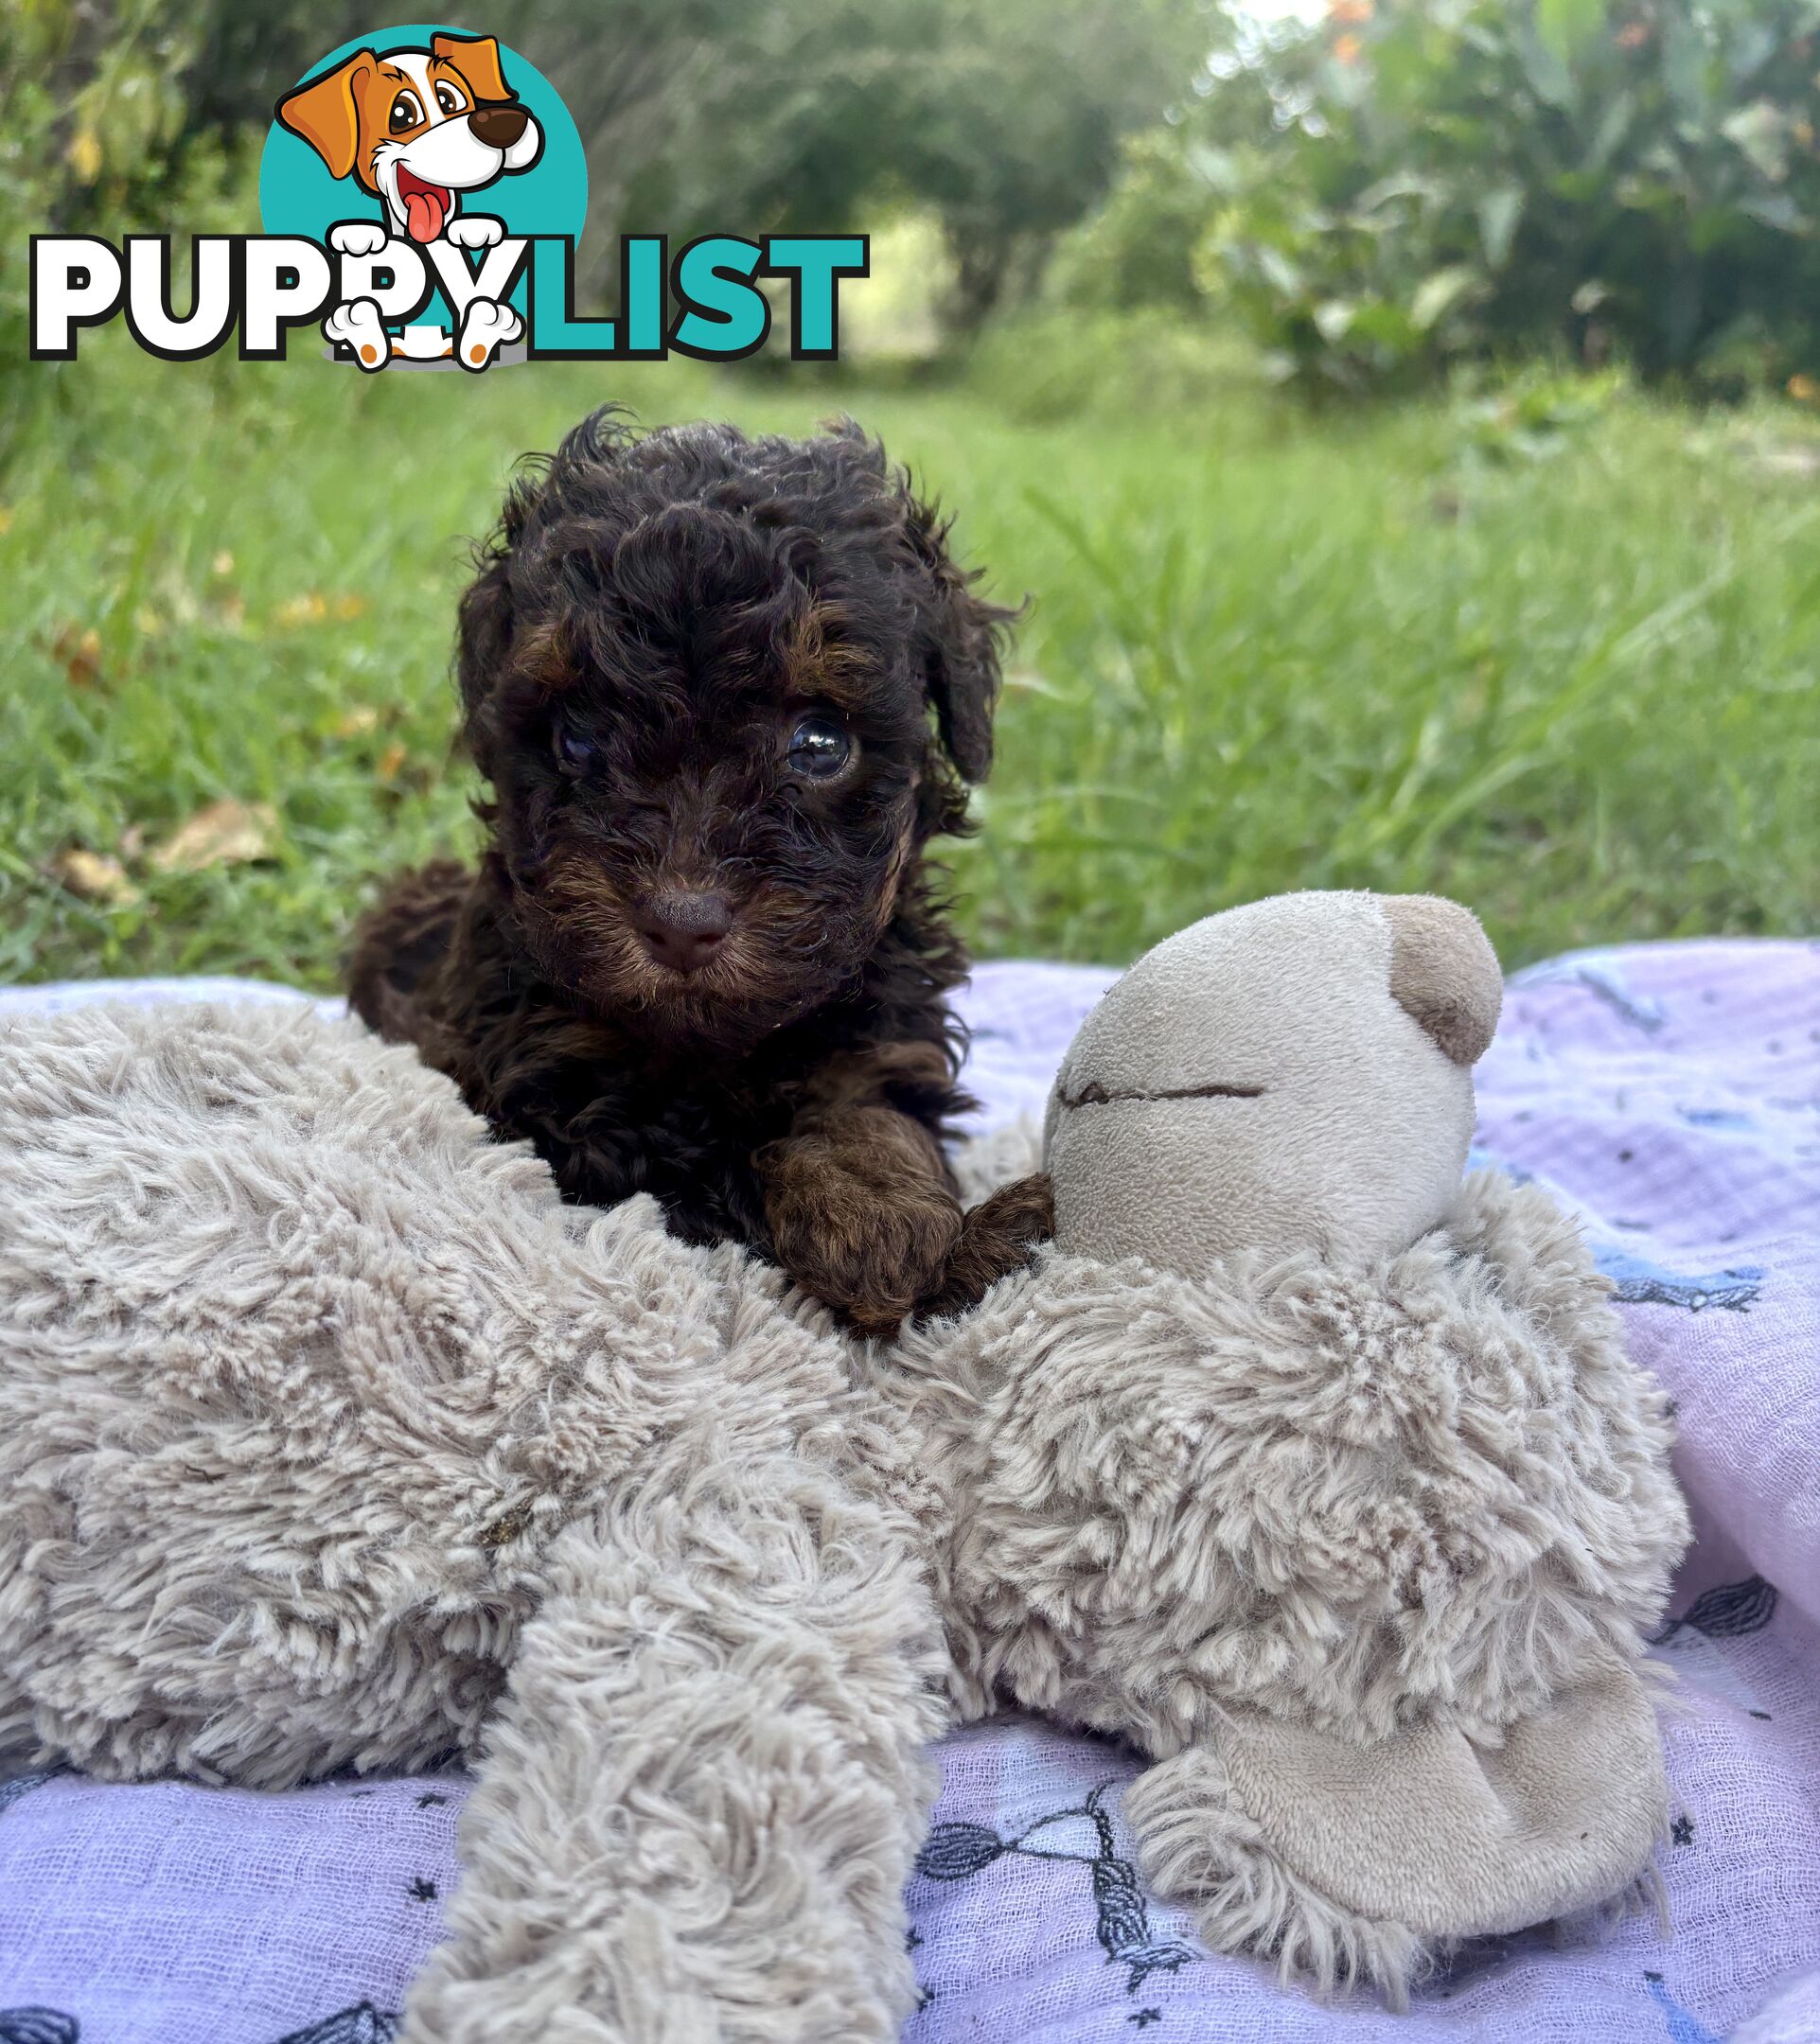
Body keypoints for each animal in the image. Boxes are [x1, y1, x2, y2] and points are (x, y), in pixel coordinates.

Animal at [347, 406, 1047, 1332]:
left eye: (819, 743)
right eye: (577, 738)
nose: (681, 925)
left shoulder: (880, 1034)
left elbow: (867, 1108)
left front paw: (883, 1208)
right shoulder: (558, 1097)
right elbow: (710, 1175)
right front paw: (931, 1242)